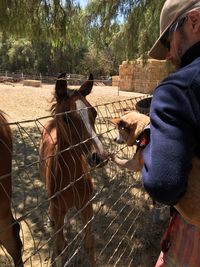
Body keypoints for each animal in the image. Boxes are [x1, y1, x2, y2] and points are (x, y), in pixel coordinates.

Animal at [39, 74, 108, 267]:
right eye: (66, 118)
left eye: (94, 113)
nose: (100, 156)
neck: (70, 179)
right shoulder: (59, 211)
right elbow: (59, 247)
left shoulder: (86, 205)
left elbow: (89, 243)